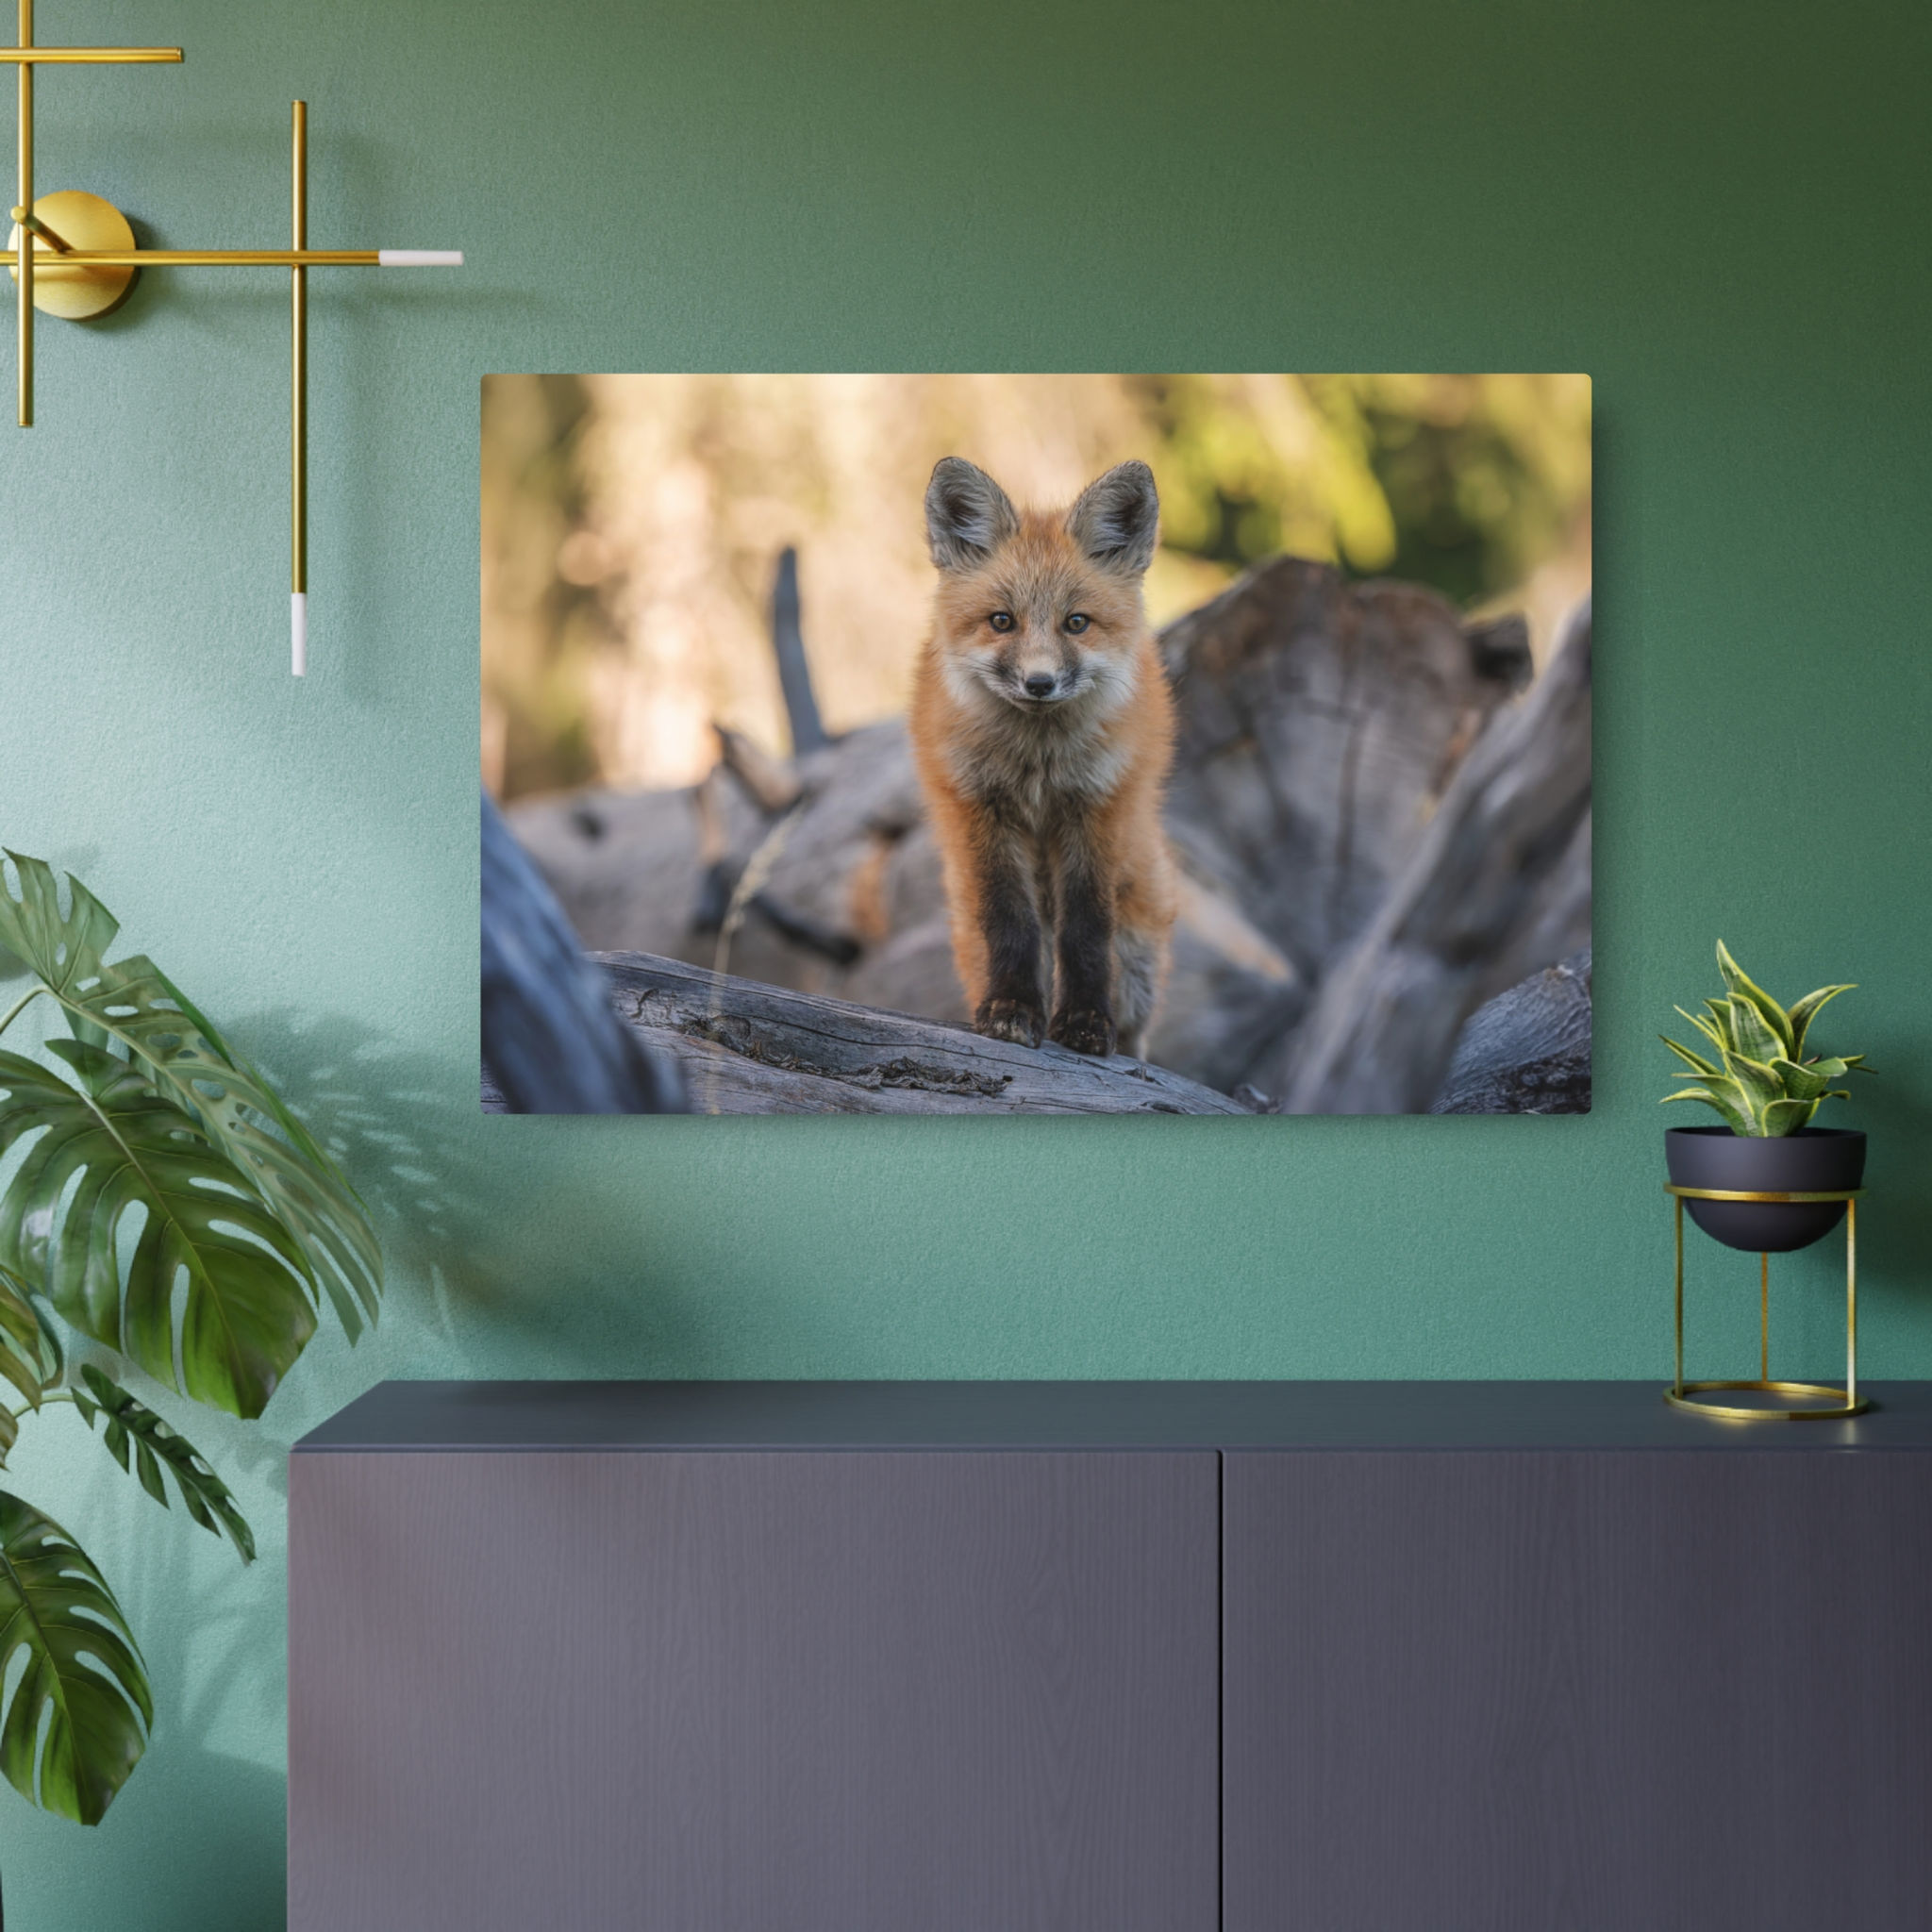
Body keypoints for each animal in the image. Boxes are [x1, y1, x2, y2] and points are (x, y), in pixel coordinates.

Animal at [909, 455, 1178, 1060]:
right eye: (1001, 621)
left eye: (1075, 623)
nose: (1039, 683)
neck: (1037, 763)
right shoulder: (980, 808)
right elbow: (1011, 921)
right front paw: (1012, 1010)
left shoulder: (1096, 807)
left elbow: (1086, 929)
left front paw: (1084, 1023)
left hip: (1138, 957)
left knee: (1134, 1022)